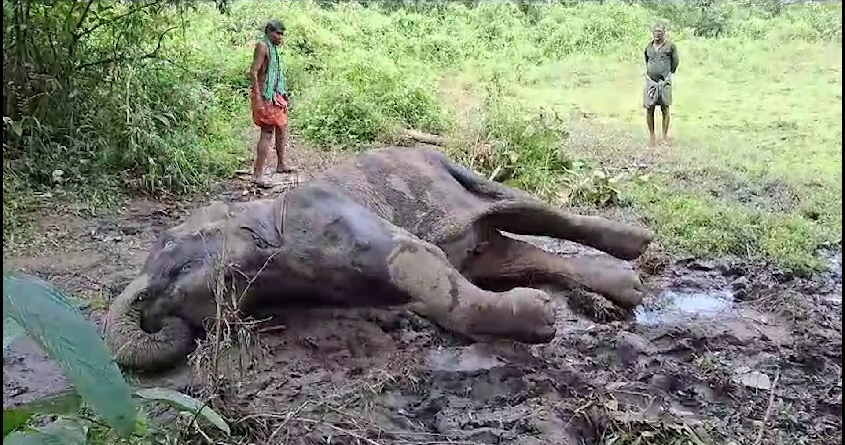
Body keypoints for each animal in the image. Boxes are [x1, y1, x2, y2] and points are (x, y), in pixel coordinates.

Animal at [105, 146, 653, 371]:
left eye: (174, 261)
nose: (159, 320)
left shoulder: (321, 211)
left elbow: (416, 258)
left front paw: (542, 318)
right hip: (482, 242)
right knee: (510, 253)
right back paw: (625, 286)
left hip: (450, 170)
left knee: (531, 212)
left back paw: (638, 245)